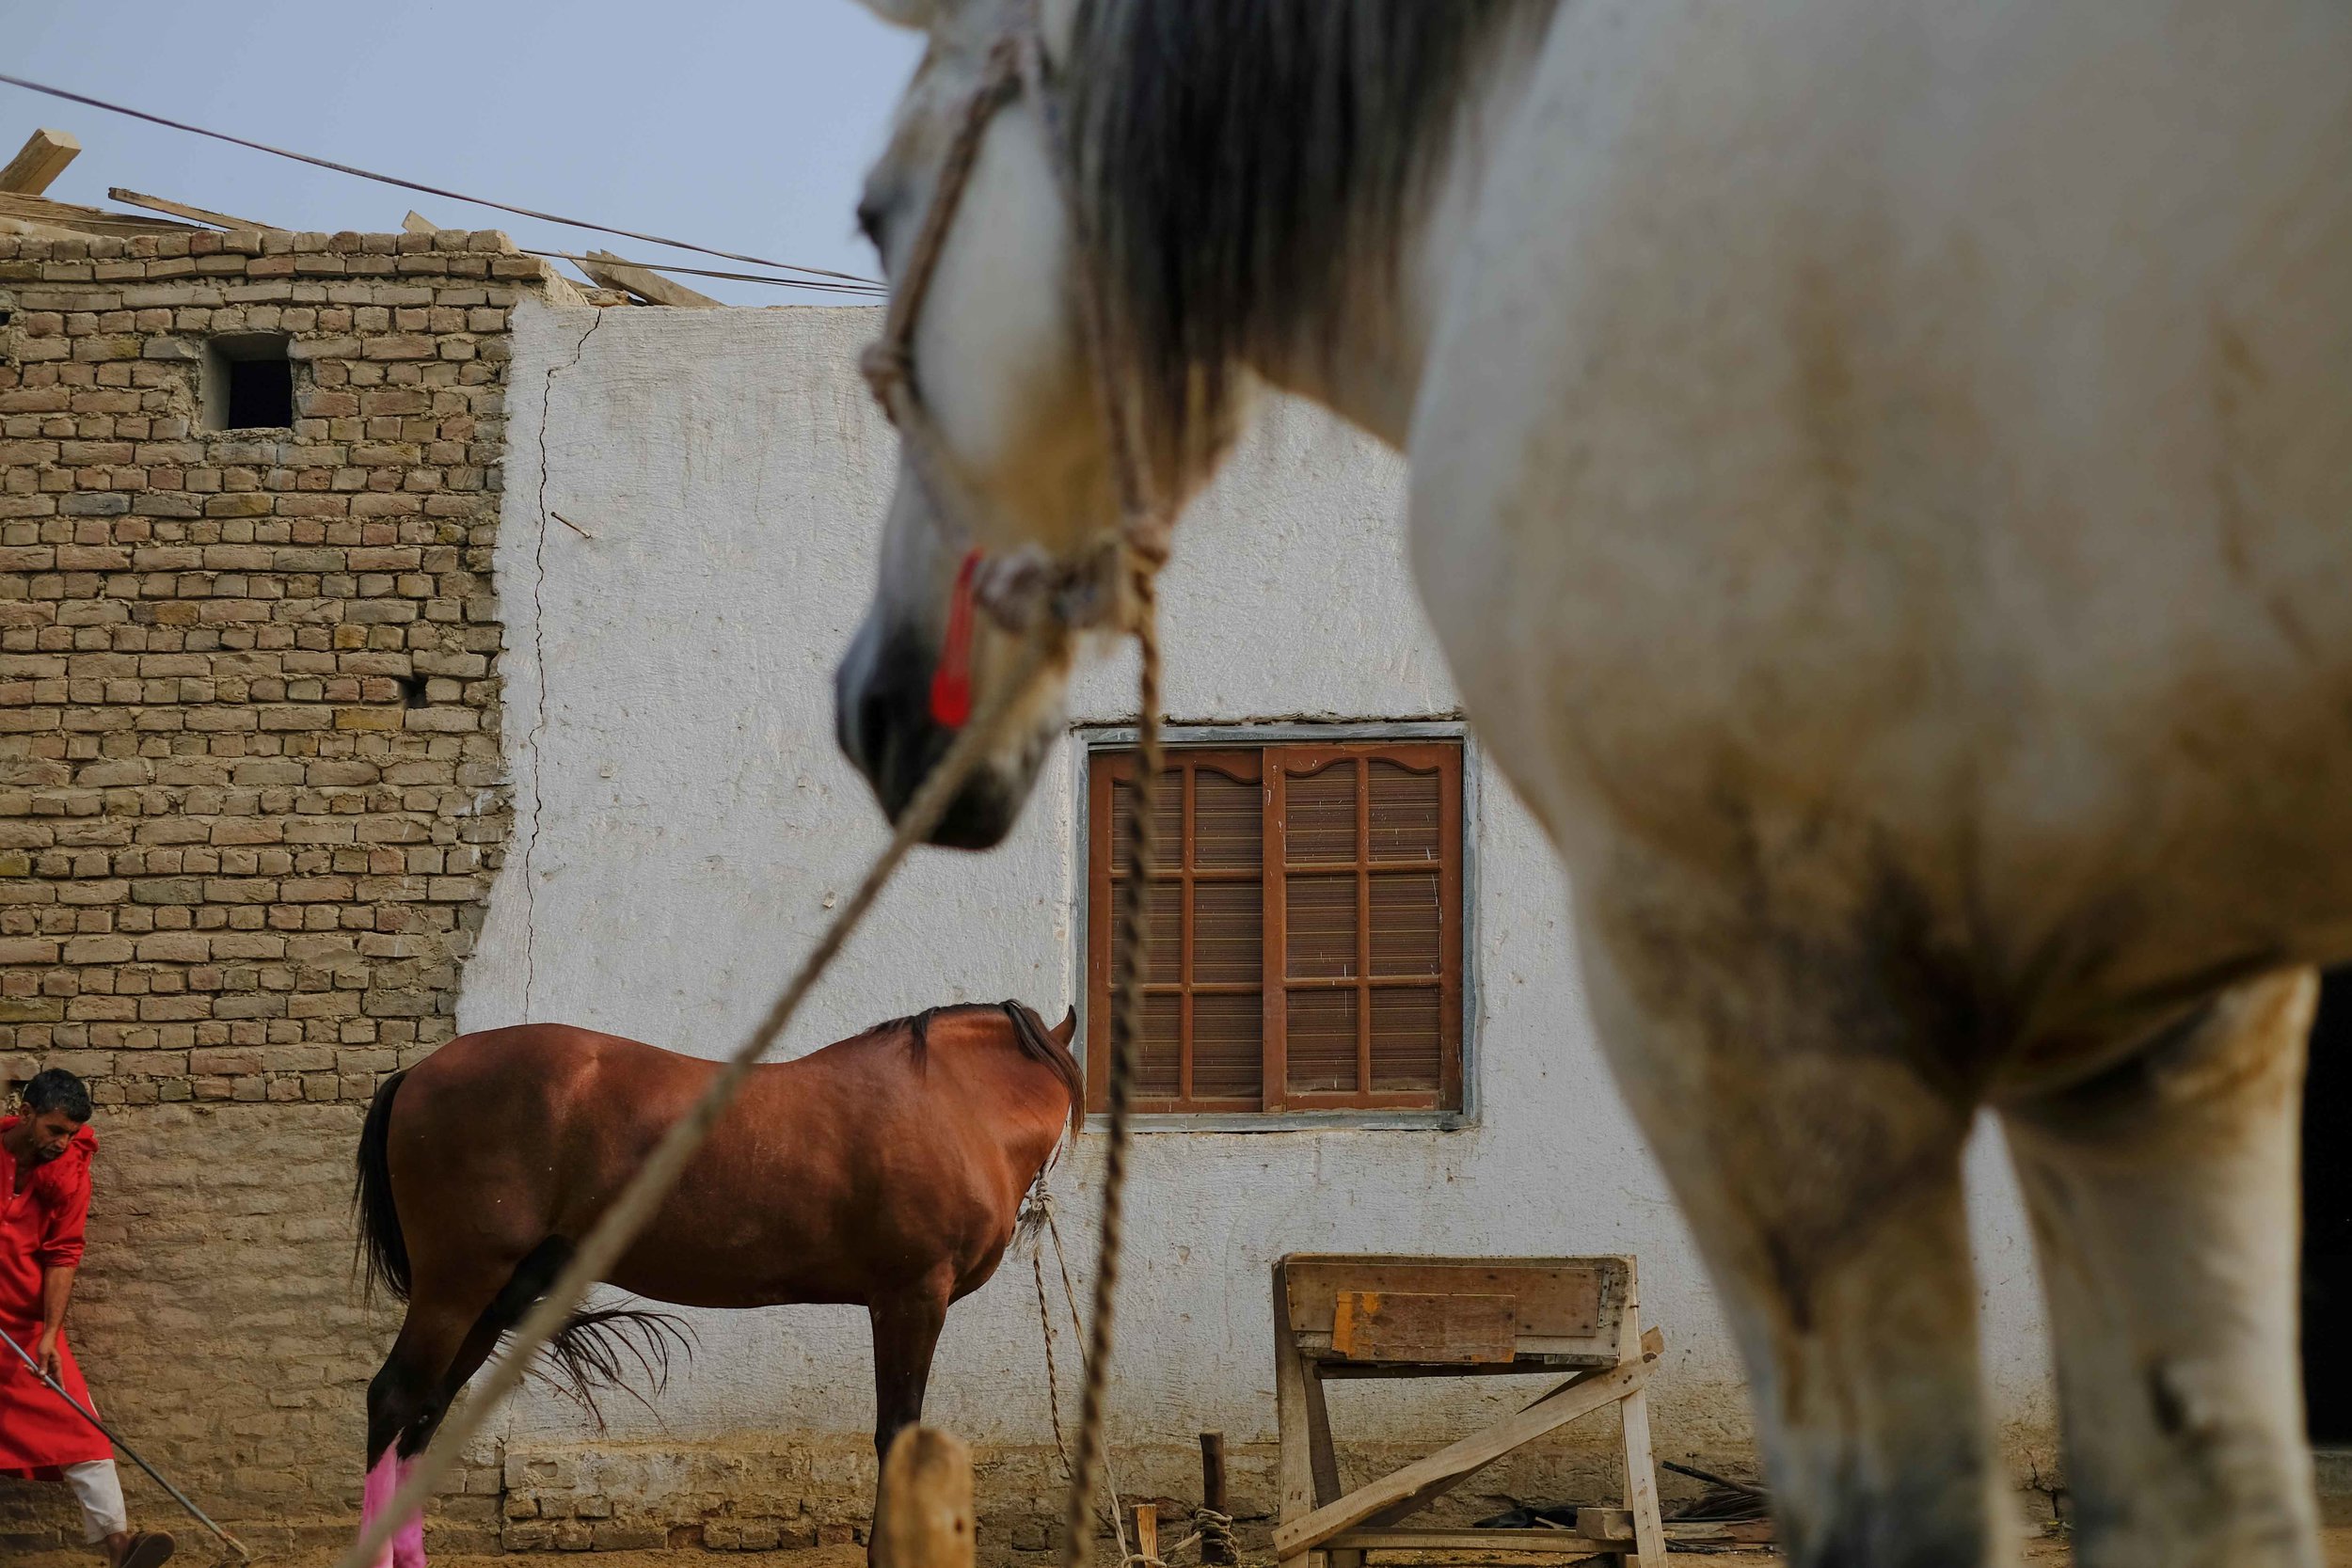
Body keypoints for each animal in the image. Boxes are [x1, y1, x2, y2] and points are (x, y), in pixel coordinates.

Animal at [348, 1006, 1082, 1568]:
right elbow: (895, 1432)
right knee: (393, 1400)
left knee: (424, 1414)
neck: (955, 1106)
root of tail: (420, 1073)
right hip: (455, 1286)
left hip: (492, 1296)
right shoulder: (910, 1297)